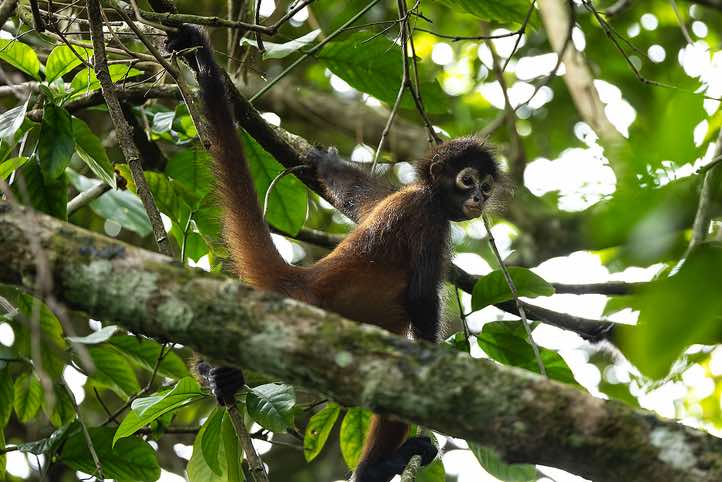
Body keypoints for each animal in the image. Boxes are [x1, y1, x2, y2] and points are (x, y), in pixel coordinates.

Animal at [166, 26, 507, 482]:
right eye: (467, 180)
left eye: (485, 187)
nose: (478, 199)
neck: (428, 192)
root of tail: (302, 278)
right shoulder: (427, 215)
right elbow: (420, 301)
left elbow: (355, 195)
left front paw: (321, 159)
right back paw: (375, 469)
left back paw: (216, 375)